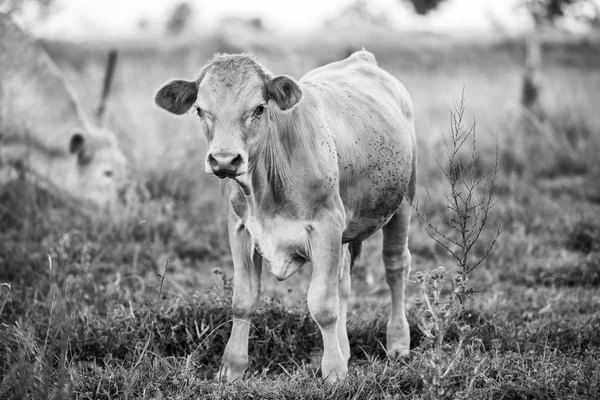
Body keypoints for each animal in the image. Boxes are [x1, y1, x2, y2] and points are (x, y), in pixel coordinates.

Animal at [156, 50, 418, 382]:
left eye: (259, 108)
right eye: (201, 110)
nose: (225, 160)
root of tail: (361, 58)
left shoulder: (326, 226)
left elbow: (323, 304)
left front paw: (334, 373)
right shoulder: (240, 228)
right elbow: (243, 300)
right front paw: (232, 367)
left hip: (403, 202)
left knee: (395, 267)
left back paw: (397, 343)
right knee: (344, 281)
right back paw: (345, 349)